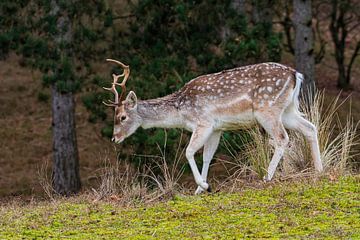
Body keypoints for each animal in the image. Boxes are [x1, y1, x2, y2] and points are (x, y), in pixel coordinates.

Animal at [102, 58, 324, 195]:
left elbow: (189, 151)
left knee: (282, 138)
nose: (114, 138)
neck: (181, 111)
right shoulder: (218, 128)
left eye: (122, 117)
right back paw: (319, 170)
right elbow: (208, 156)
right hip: (288, 110)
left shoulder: (204, 122)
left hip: (267, 109)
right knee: (310, 128)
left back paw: (267, 177)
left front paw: (204, 185)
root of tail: (296, 75)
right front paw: (200, 189)